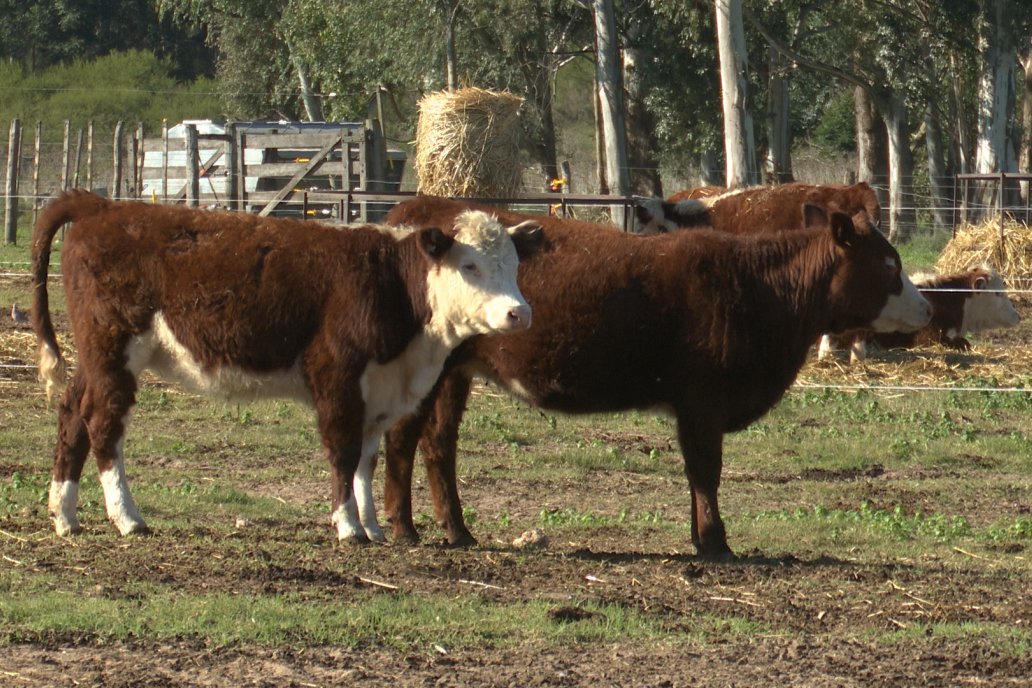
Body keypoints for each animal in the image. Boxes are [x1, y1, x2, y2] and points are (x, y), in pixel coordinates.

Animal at [30, 189, 540, 544]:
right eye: (470, 265)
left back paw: (65, 515)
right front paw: (348, 527)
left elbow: (367, 459)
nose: (519, 313)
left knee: (72, 413)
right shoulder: (337, 375)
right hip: (115, 348)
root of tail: (100, 206)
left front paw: (373, 526)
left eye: (514, 264)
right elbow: (343, 453)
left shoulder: (377, 387)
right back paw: (127, 517)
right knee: (104, 423)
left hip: (96, 357)